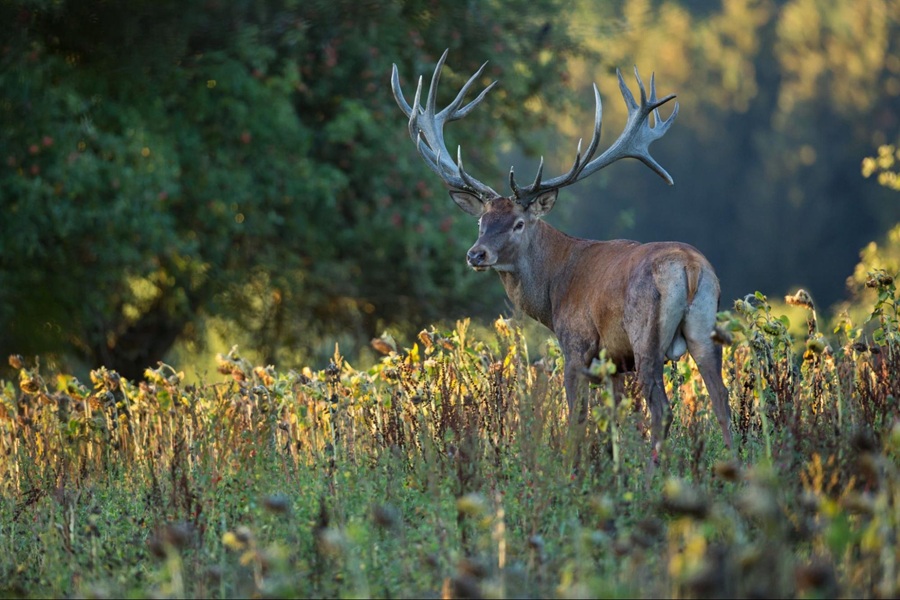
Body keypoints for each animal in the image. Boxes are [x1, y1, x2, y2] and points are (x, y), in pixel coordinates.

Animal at [391, 50, 733, 464]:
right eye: (481, 221)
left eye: (519, 223)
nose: (476, 254)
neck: (555, 291)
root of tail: (691, 267)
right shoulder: (614, 363)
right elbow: (613, 425)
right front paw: (613, 469)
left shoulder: (577, 343)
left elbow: (578, 418)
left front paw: (573, 469)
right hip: (703, 328)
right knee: (721, 398)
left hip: (645, 334)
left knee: (662, 409)